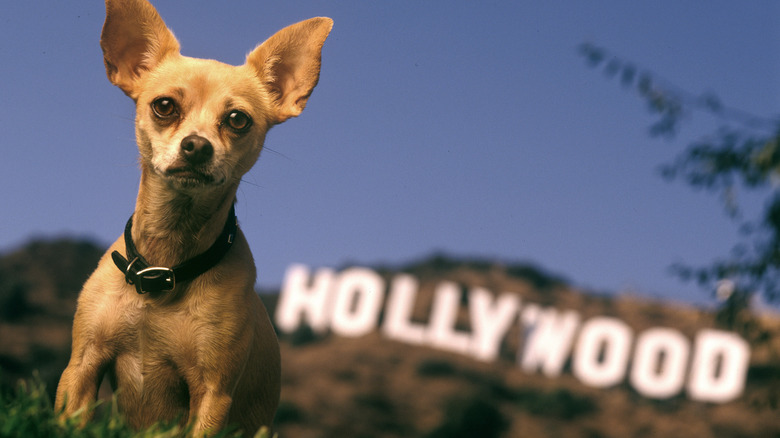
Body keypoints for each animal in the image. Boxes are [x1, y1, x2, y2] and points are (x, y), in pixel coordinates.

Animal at [56, 0, 332, 434]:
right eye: (164, 106)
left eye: (238, 119)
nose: (197, 146)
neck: (165, 265)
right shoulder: (82, 367)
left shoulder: (213, 394)